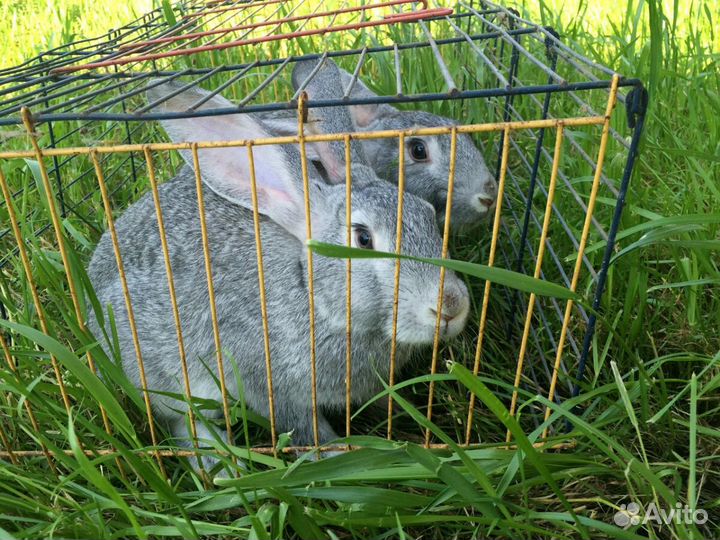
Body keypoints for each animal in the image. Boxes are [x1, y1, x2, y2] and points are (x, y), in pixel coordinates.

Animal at [86, 62, 470, 473]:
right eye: (363, 238)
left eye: (428, 215)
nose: (451, 306)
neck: (311, 294)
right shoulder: (267, 382)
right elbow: (302, 427)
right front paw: (336, 456)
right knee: (182, 420)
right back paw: (222, 466)